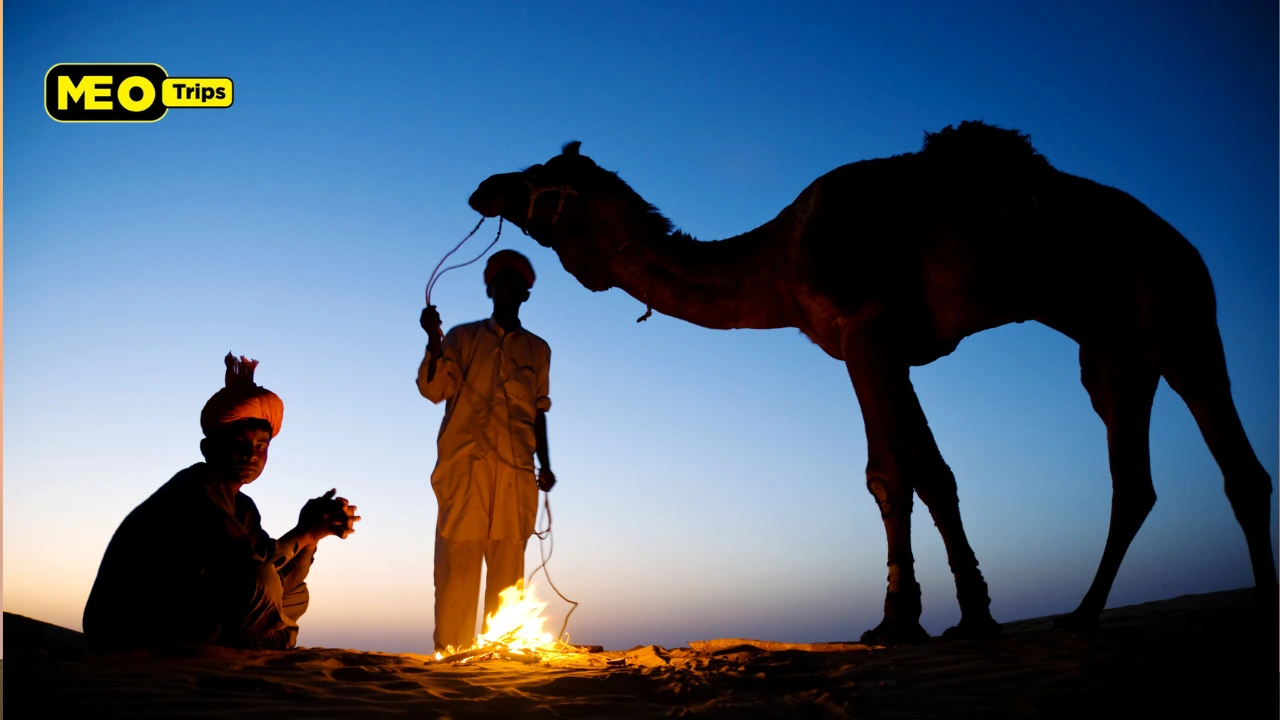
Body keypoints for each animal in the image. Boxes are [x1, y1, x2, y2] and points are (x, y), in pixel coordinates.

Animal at [466, 121, 1277, 642]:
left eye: (538, 177)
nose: (482, 186)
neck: (778, 260)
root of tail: (1179, 238)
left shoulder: (865, 334)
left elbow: (887, 473)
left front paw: (895, 622)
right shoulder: (893, 351)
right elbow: (935, 474)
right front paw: (972, 616)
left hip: (1177, 311)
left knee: (1238, 467)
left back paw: (1259, 606)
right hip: (1111, 354)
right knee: (1135, 479)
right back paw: (1081, 617)